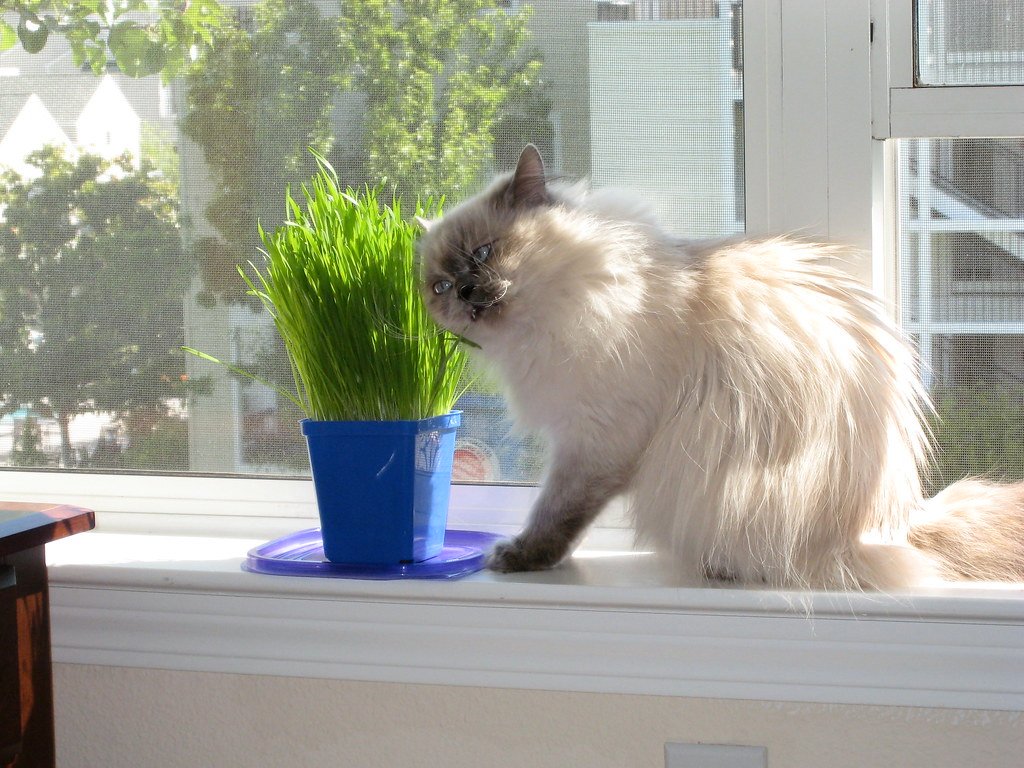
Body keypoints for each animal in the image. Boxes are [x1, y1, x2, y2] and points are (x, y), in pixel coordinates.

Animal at [415, 144, 1024, 589]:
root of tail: (891, 527)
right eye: (439, 287)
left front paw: (520, 556)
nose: (465, 294)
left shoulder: (597, 439)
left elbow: (556, 512)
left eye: (484, 253)